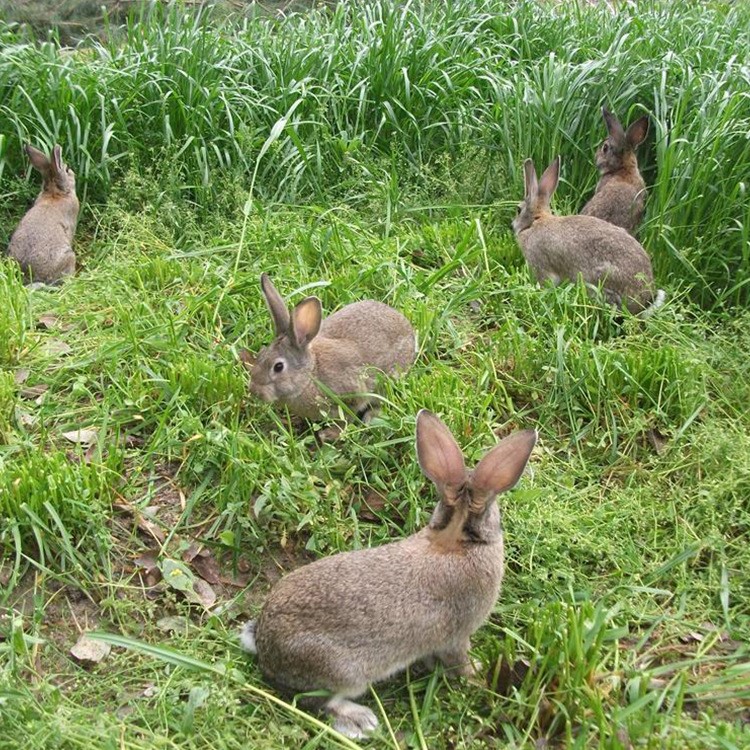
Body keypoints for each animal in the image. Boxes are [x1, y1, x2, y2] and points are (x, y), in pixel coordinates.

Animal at [241, 408, 536, 736]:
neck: (455, 538)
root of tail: (267, 648)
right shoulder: (458, 634)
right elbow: (458, 662)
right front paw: (477, 674)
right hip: (344, 672)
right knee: (314, 701)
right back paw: (360, 720)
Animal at [251, 274, 418, 424]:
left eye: (278, 367)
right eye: (261, 354)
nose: (255, 391)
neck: (310, 375)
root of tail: (407, 328)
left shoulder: (353, 392)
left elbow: (350, 414)